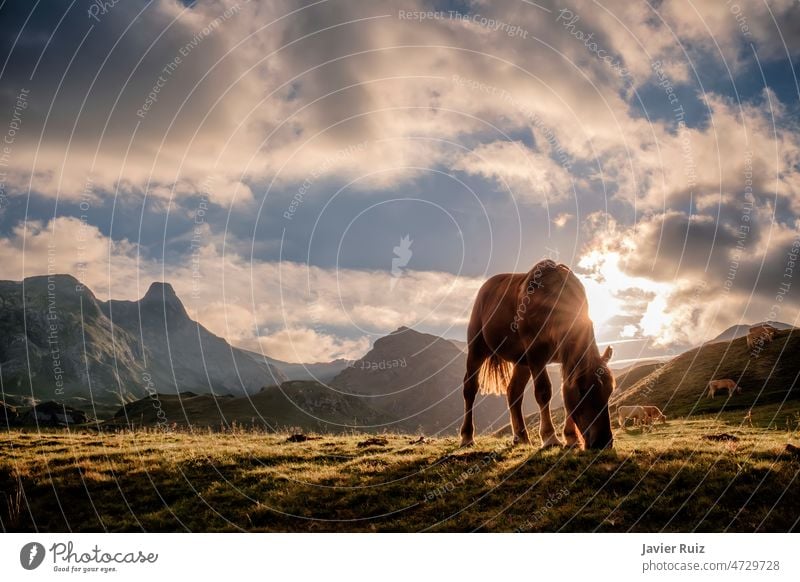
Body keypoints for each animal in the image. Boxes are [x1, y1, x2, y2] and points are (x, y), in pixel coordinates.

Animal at [460, 258, 616, 452]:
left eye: (609, 390)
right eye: (583, 390)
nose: (603, 442)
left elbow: (564, 391)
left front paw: (570, 437)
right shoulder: (536, 355)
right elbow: (543, 391)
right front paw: (550, 437)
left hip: (522, 362)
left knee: (514, 393)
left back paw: (521, 437)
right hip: (477, 349)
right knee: (470, 388)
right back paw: (467, 437)